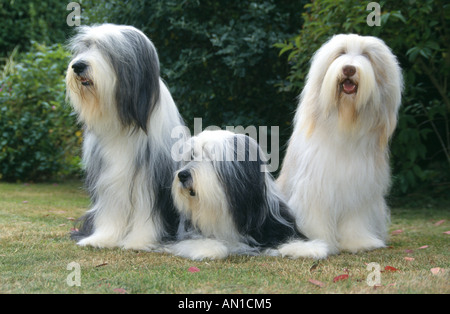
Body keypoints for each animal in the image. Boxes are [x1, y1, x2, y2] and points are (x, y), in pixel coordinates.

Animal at [66, 23, 187, 250]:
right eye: (86, 47)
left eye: (108, 51)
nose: (78, 66)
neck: (124, 120)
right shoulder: (108, 177)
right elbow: (110, 209)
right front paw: (102, 238)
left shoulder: (148, 177)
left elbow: (146, 211)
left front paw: (139, 241)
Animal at [168, 130, 326, 260]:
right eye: (191, 156)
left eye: (210, 157)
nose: (182, 175)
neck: (224, 208)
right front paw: (208, 248)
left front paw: (307, 248)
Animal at [280, 33, 402, 255]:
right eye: (341, 52)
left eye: (366, 55)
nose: (349, 69)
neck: (345, 124)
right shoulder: (315, 184)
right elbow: (316, 215)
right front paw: (319, 243)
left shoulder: (359, 187)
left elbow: (355, 219)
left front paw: (359, 242)